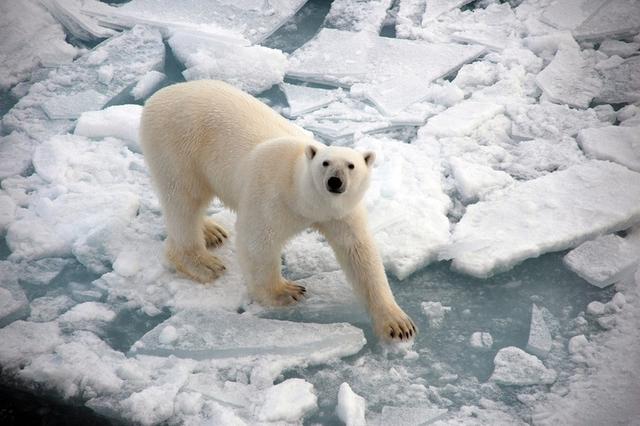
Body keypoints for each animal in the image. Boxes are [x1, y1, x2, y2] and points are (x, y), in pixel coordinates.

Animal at [141, 79, 416, 340]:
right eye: (325, 163)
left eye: (351, 165)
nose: (335, 182)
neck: (302, 195)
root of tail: (159, 96)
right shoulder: (271, 198)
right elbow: (257, 242)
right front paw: (286, 291)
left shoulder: (341, 213)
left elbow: (359, 253)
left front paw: (398, 324)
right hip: (177, 145)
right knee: (184, 200)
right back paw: (203, 262)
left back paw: (211, 231)